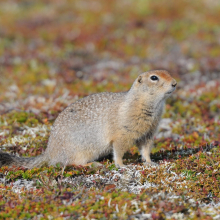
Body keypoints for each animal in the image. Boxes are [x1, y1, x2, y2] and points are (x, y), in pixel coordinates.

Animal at [0, 70, 176, 168]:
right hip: (81, 150)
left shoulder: (148, 132)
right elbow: (118, 149)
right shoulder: (122, 132)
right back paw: (94, 164)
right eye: (154, 78)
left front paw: (150, 162)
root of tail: (49, 152)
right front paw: (121, 165)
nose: (175, 83)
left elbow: (145, 149)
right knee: (71, 163)